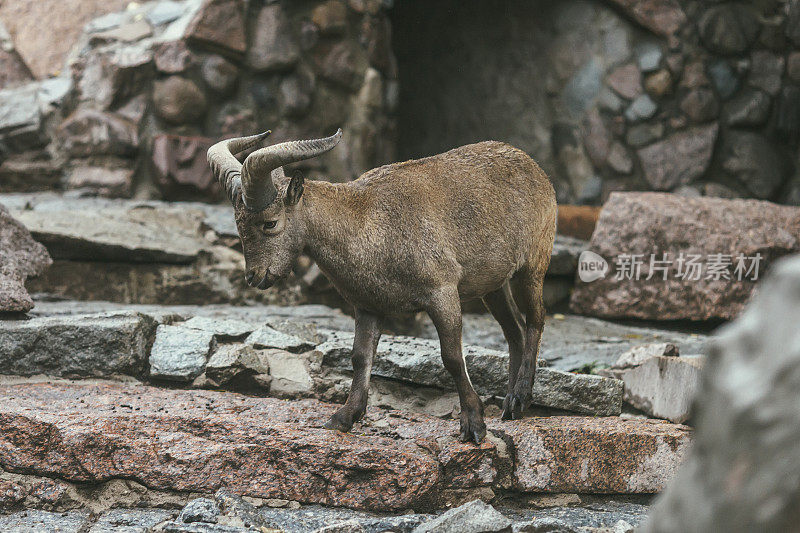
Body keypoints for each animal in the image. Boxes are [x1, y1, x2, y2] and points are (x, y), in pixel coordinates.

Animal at [206, 131, 556, 442]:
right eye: (238, 225)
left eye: (270, 223)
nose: (255, 277)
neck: (366, 221)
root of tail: (535, 168)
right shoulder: (368, 305)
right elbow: (360, 357)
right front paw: (343, 417)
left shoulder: (441, 292)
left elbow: (453, 358)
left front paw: (473, 424)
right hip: (492, 286)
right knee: (514, 330)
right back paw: (510, 405)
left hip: (532, 265)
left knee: (536, 320)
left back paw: (520, 398)